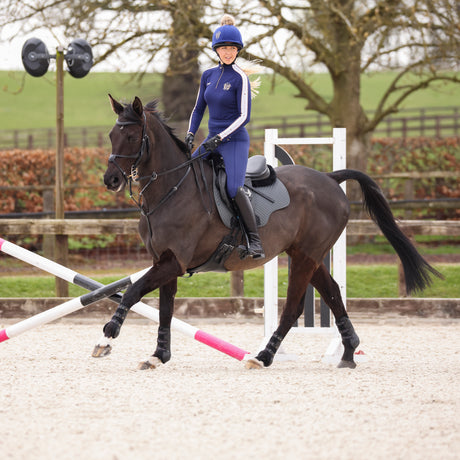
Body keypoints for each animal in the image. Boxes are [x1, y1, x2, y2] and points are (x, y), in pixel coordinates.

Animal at [97, 94, 442, 370]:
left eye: (132, 136)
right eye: (112, 134)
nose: (110, 180)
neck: (172, 190)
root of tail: (330, 178)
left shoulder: (173, 262)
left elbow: (133, 291)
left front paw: (109, 334)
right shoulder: (167, 262)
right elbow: (165, 309)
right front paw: (158, 355)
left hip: (305, 257)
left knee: (292, 309)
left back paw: (264, 356)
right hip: (307, 255)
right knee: (332, 292)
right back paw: (347, 353)